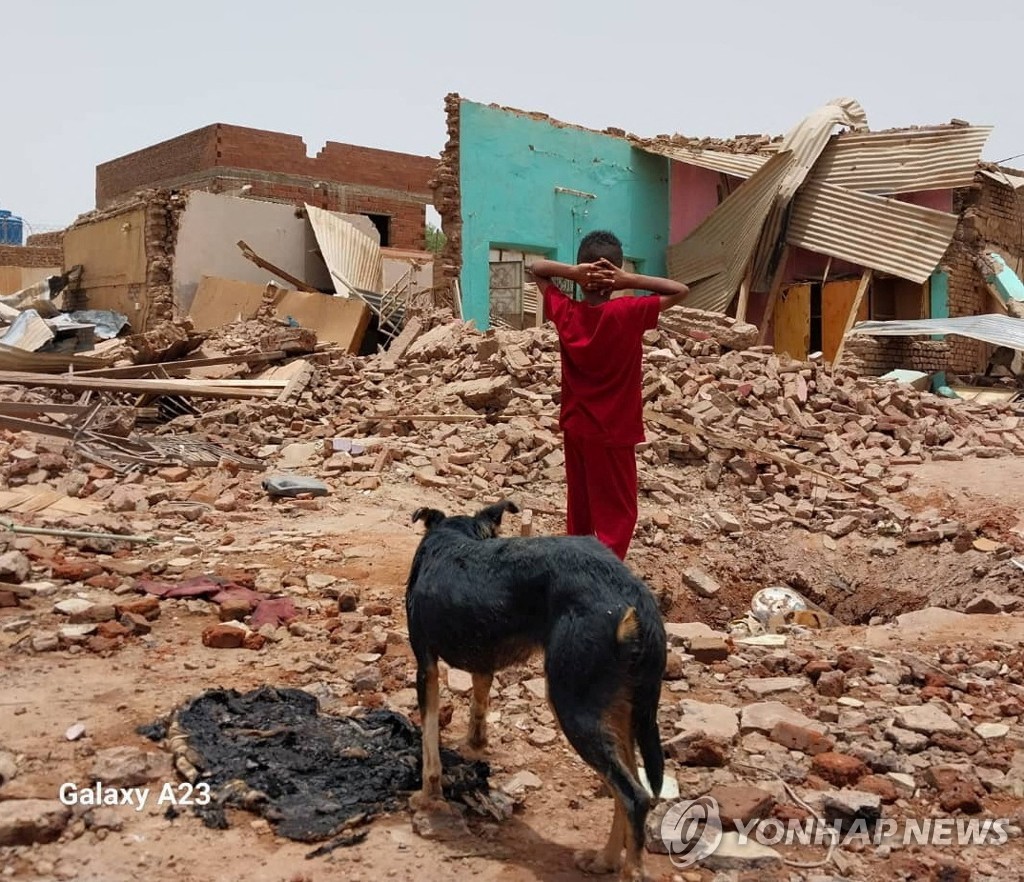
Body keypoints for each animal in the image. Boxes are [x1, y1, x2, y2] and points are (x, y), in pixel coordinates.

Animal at [403, 499, 667, 876]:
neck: (455, 534)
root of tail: (636, 597)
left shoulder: (425, 665)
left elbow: (430, 748)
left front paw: (427, 797)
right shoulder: (483, 661)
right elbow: (479, 704)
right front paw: (475, 745)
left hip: (572, 705)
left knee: (634, 796)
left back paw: (630, 869)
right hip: (616, 710)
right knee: (627, 784)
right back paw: (604, 860)